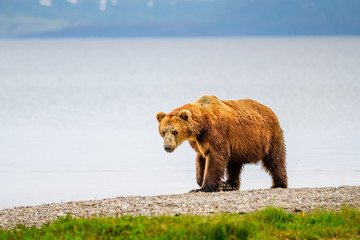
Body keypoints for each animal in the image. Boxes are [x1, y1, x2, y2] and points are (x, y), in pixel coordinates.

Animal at [155, 94, 286, 192]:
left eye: (175, 131)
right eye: (163, 131)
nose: (167, 147)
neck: (201, 126)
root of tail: (270, 110)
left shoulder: (216, 131)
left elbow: (216, 156)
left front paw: (205, 187)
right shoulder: (198, 141)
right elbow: (201, 160)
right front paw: (206, 182)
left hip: (269, 137)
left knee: (275, 160)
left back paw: (279, 184)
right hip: (238, 146)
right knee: (233, 165)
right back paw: (230, 184)